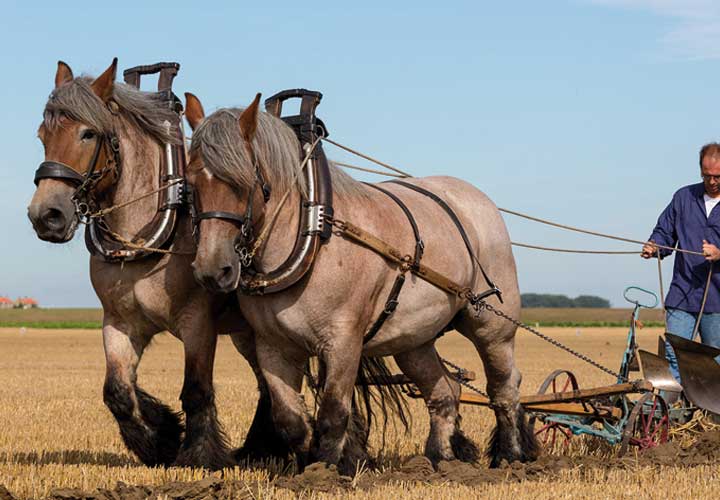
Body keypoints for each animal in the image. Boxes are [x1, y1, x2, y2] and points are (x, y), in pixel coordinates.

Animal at [26, 59, 290, 468]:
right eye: (43, 135)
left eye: (88, 133)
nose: (46, 216)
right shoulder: (119, 322)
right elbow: (117, 391)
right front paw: (159, 437)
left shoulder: (198, 323)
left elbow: (196, 389)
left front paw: (198, 454)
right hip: (248, 333)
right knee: (266, 382)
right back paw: (259, 449)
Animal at [186, 92, 540, 470]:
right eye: (191, 183)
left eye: (240, 182)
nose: (213, 269)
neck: (312, 234)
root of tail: (477, 199)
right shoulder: (273, 346)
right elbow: (290, 419)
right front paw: (307, 461)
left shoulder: (343, 342)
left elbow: (333, 412)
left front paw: (324, 468)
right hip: (414, 340)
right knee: (445, 392)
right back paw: (439, 461)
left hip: (492, 326)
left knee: (504, 388)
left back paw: (508, 456)